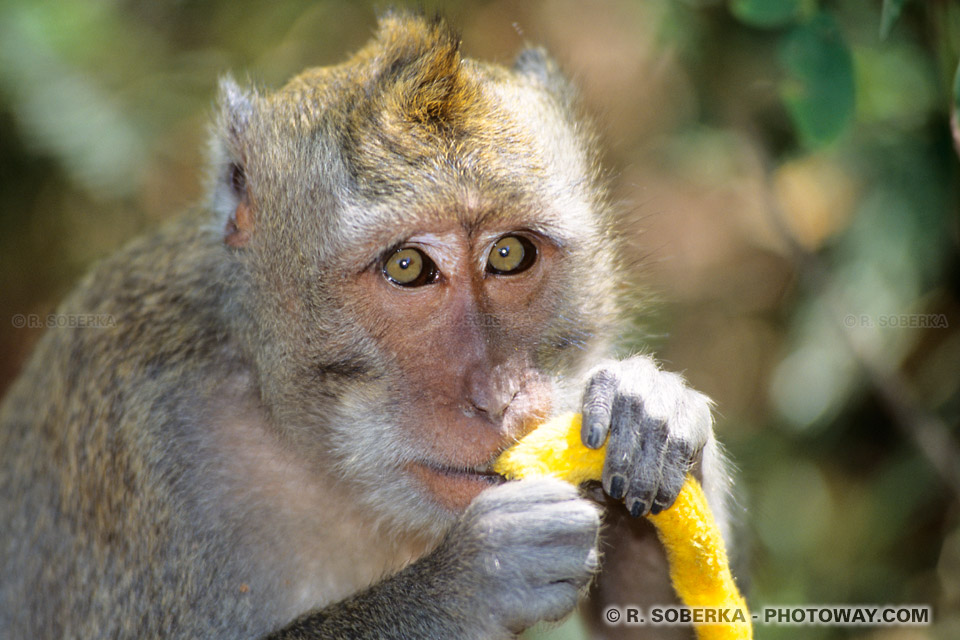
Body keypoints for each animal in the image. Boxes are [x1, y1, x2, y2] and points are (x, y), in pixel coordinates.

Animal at [0, 11, 732, 640]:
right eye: (407, 266)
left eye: (508, 254)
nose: (499, 397)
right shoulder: (137, 429)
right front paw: (466, 579)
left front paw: (652, 408)